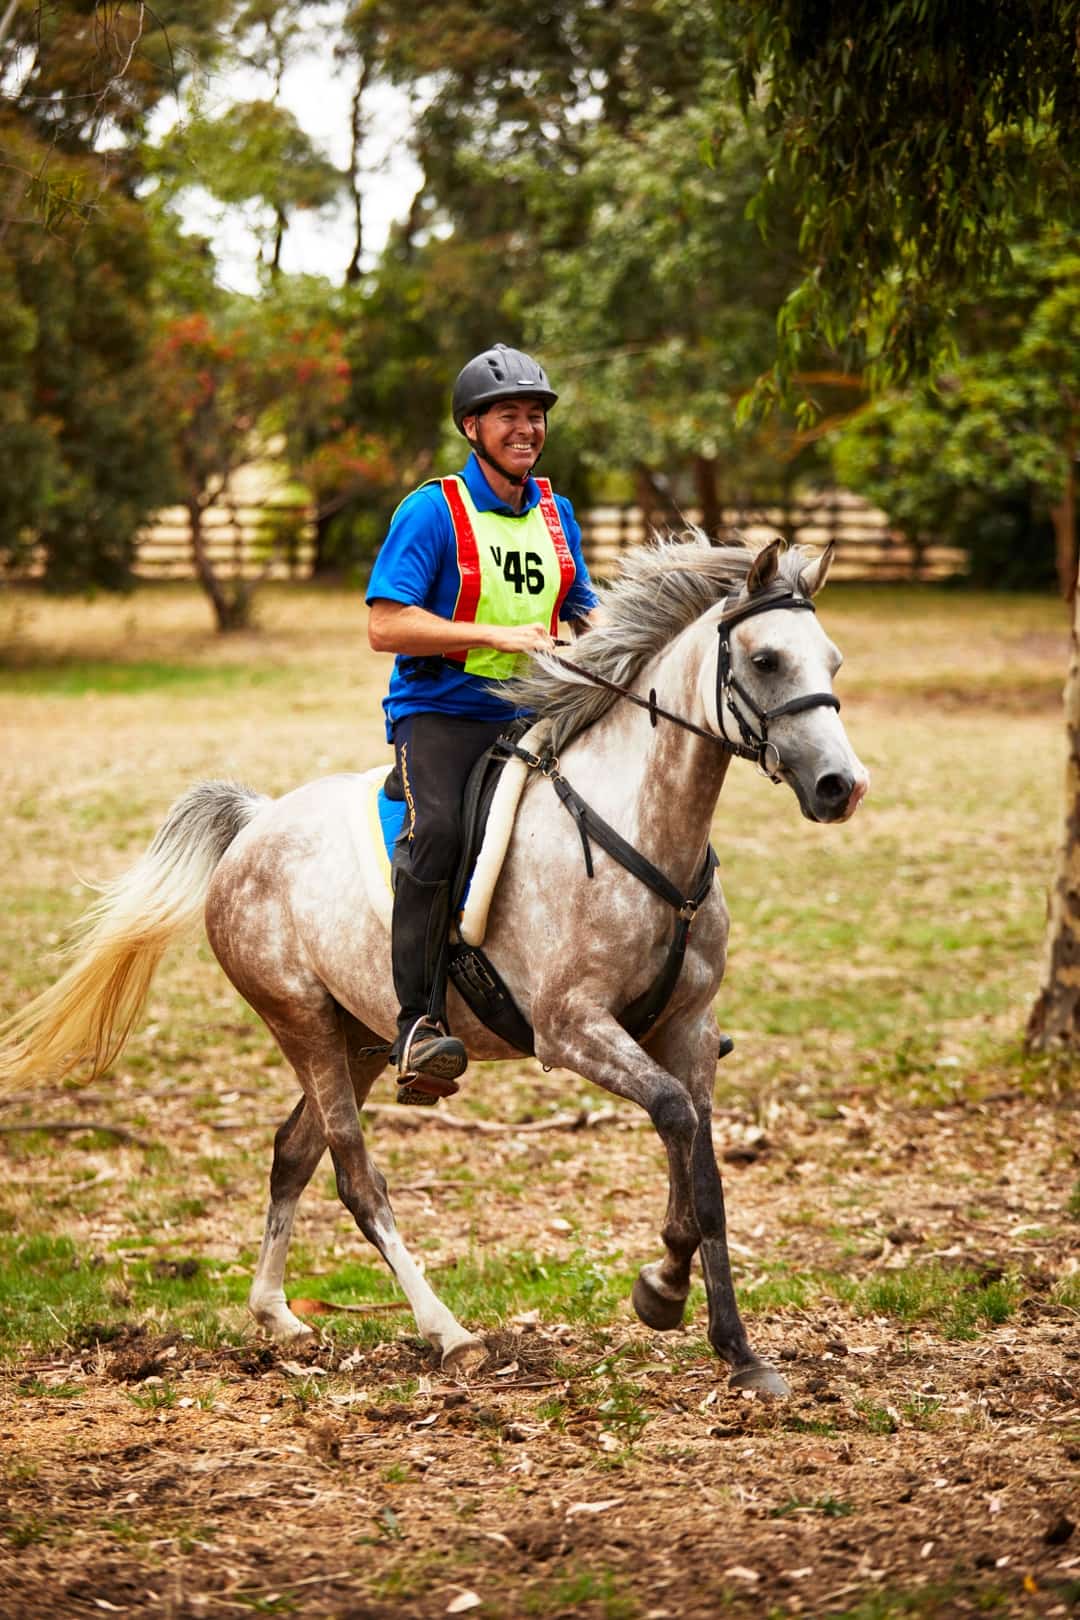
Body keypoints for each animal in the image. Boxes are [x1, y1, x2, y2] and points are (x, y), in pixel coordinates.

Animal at [0, 535, 868, 1396]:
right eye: (764, 660)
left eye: (833, 659)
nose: (841, 786)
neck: (638, 828)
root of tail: (255, 822)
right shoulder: (572, 1029)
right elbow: (676, 1119)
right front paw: (670, 1294)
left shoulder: (687, 1031)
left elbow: (703, 1168)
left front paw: (727, 1342)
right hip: (303, 1022)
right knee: (355, 1177)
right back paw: (448, 1334)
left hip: (356, 1038)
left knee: (292, 1153)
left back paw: (279, 1318)